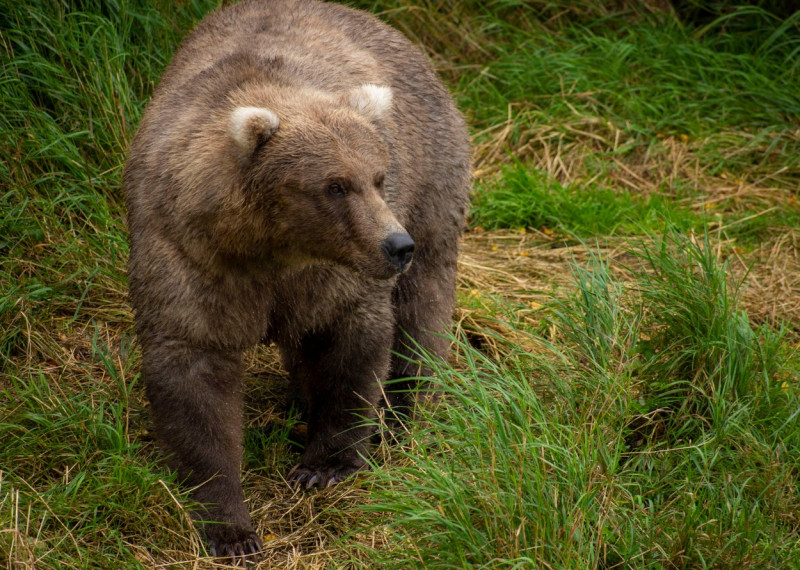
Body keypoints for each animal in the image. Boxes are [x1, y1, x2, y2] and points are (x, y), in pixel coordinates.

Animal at [123, 0, 468, 560]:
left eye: (377, 177)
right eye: (335, 185)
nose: (396, 244)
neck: (269, 248)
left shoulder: (333, 275)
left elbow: (351, 348)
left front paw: (323, 465)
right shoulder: (188, 255)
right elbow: (193, 377)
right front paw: (230, 528)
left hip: (434, 175)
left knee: (423, 306)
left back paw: (409, 412)